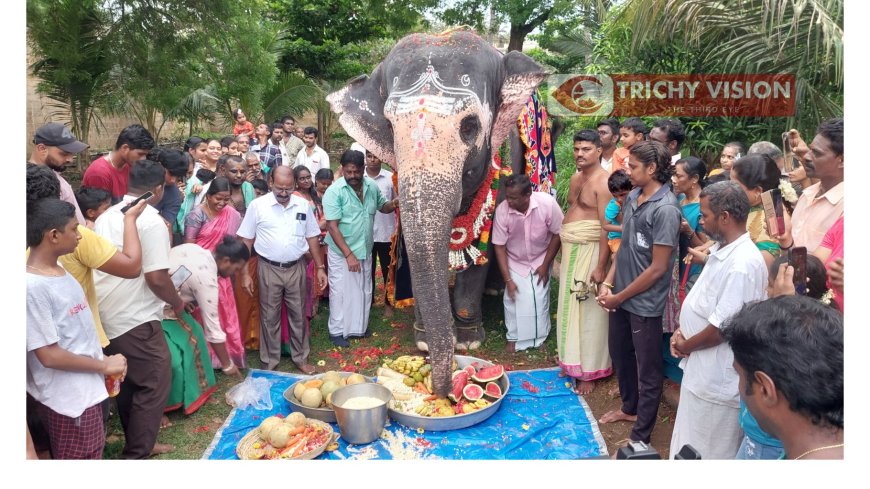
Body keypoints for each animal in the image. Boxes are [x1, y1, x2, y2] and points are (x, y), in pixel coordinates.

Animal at [330, 28, 548, 396]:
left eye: (470, 126)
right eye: (390, 126)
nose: (441, 389)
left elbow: (481, 247)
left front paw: (469, 342)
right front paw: (422, 341)